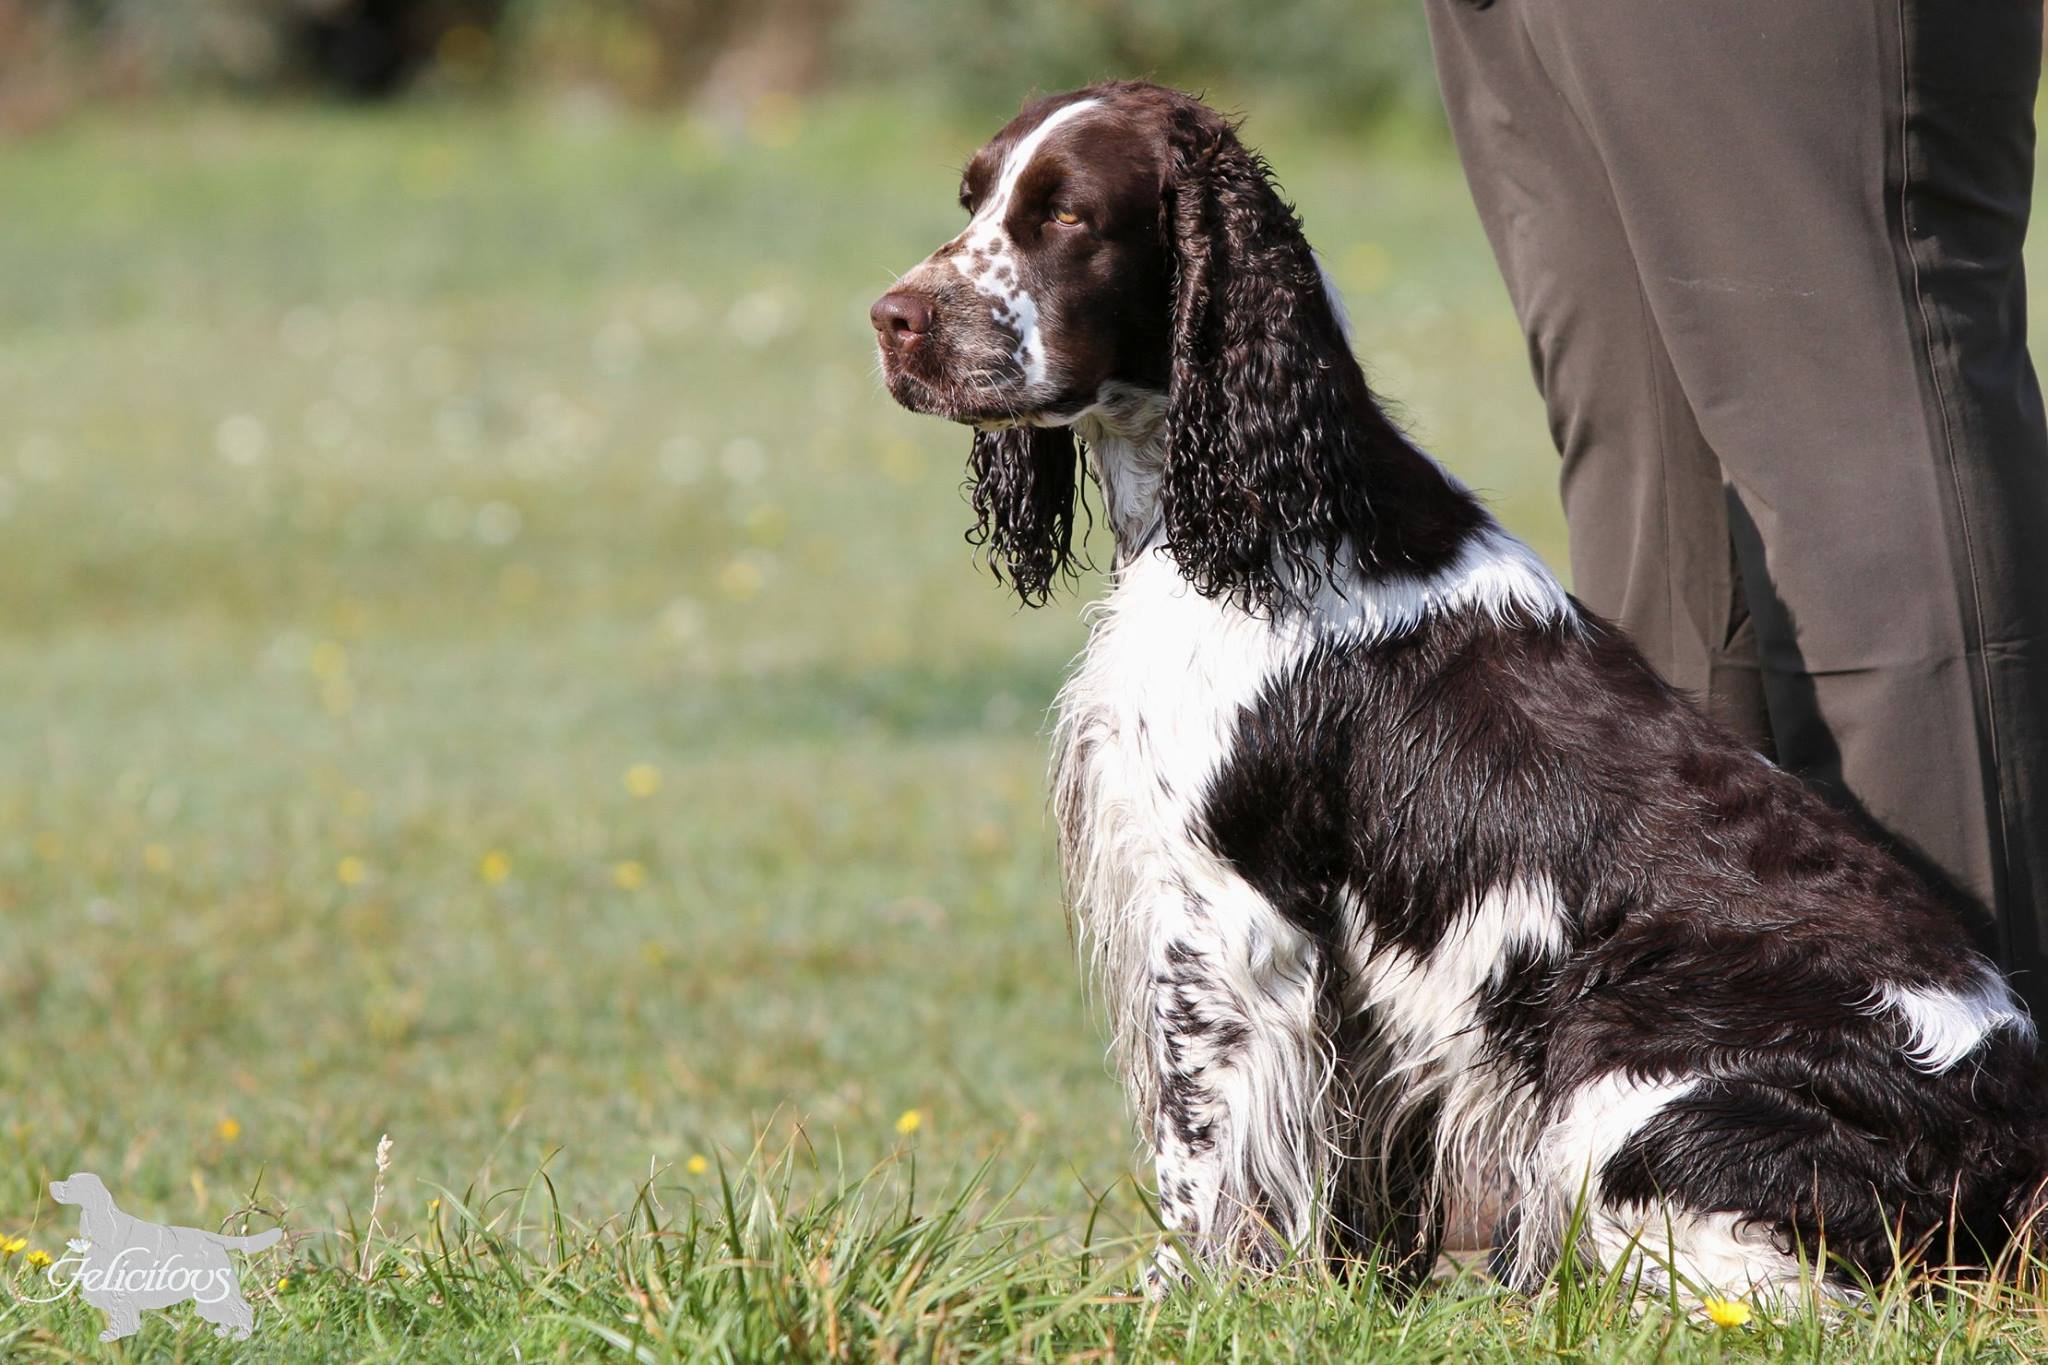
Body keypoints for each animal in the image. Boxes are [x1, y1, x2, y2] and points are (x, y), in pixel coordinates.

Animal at [868, 80, 2048, 1301]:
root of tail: (2009, 1131)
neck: (1240, 516)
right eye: (972, 199)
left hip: (1625, 1066)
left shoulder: (1226, 906)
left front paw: (1170, 1305)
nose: (890, 319)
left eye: (1067, 217)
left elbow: (1198, 1148)